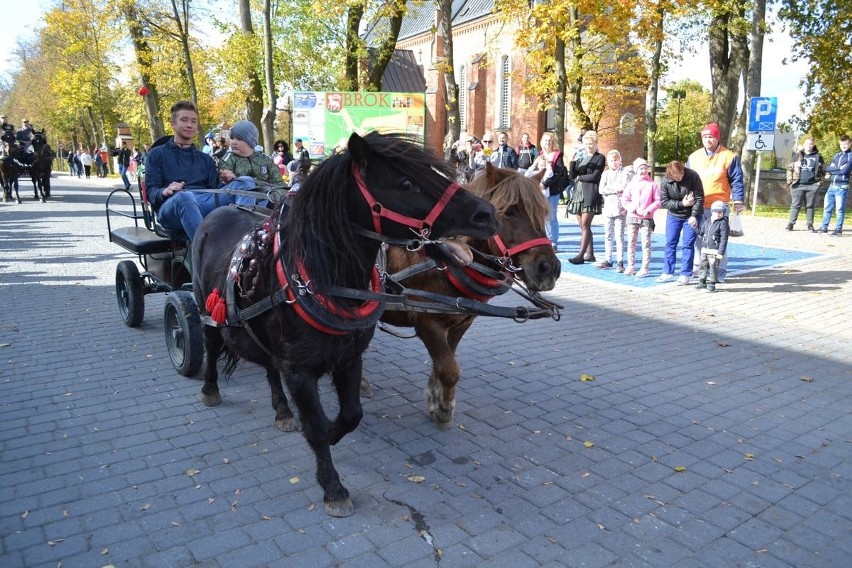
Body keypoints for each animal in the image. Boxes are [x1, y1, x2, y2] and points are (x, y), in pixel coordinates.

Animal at [191, 131, 500, 516]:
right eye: (406, 183)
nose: (486, 213)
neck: (323, 281)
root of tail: (217, 211)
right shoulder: (300, 371)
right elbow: (316, 426)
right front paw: (333, 486)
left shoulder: (350, 357)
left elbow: (351, 414)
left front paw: (334, 432)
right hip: (206, 310)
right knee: (210, 344)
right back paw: (210, 389)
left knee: (268, 367)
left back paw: (282, 410)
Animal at [376, 162, 564, 424]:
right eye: (510, 212)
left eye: (542, 213)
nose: (549, 269)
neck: (448, 261)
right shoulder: (427, 321)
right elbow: (450, 369)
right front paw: (444, 409)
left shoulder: (461, 322)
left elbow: (445, 363)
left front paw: (437, 399)